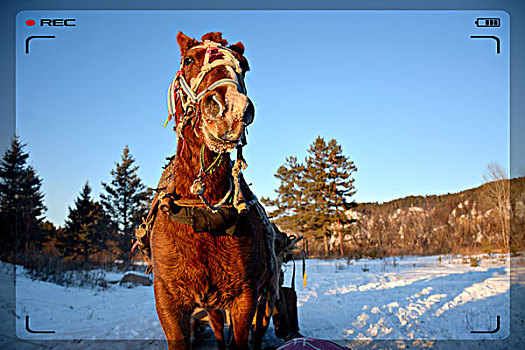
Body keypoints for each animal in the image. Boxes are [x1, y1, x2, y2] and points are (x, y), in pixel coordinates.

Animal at [148, 31, 274, 348]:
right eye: (189, 60)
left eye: (244, 66)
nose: (229, 108)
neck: (203, 215)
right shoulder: (169, 300)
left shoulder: (245, 296)